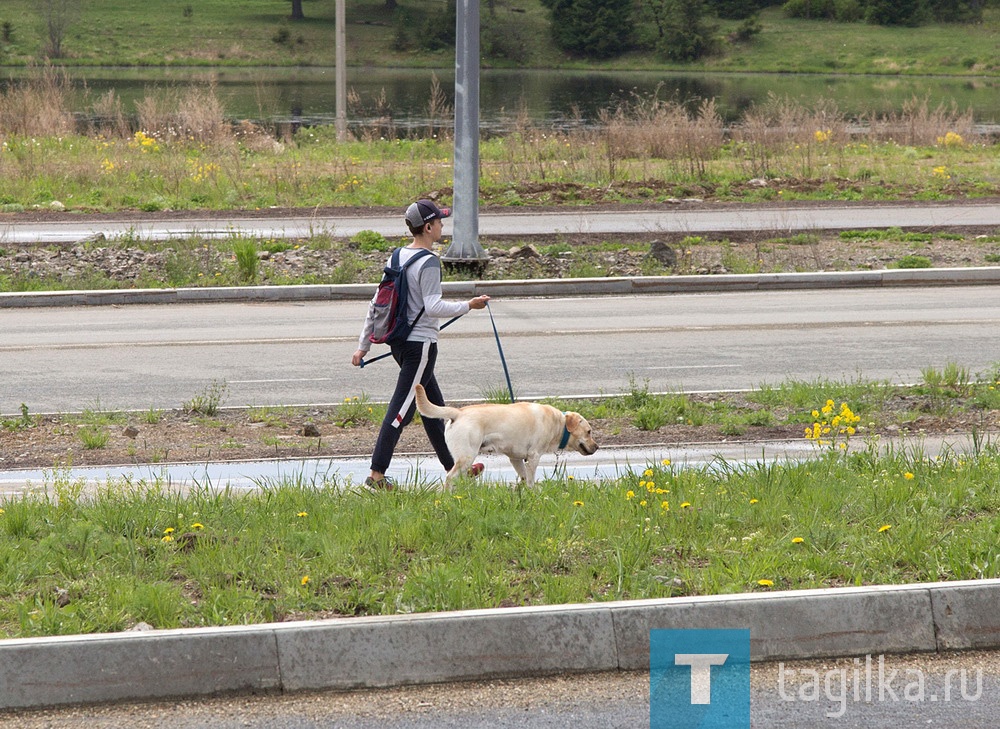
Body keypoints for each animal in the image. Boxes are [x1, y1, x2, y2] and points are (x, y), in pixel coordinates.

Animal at [412, 382, 596, 490]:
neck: (558, 422)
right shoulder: (534, 456)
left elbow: (523, 477)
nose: (597, 447)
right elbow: (530, 479)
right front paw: (533, 494)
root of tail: (458, 412)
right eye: (589, 432)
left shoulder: (515, 458)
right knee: (450, 477)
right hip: (467, 455)